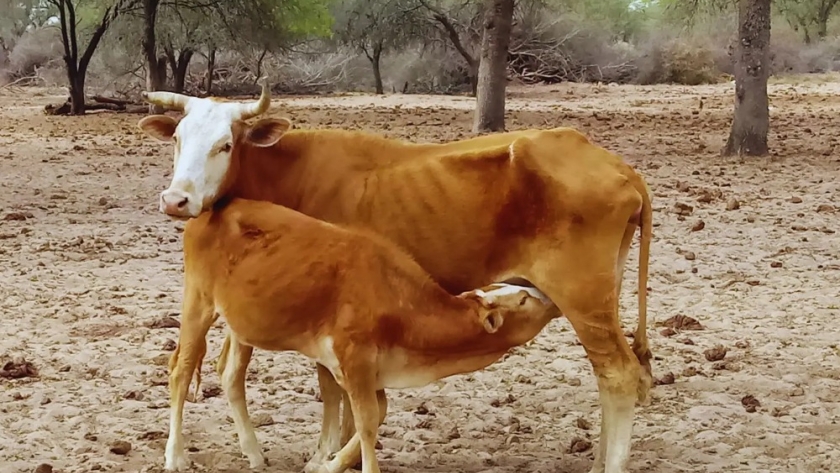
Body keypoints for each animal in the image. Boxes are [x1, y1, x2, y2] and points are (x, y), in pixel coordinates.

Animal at [138, 78, 652, 472]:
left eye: (225, 144)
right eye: (178, 140)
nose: (176, 200)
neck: (291, 171)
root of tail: (621, 170)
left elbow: (334, 392)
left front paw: (325, 454)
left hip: (583, 299)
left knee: (621, 376)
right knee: (609, 378)